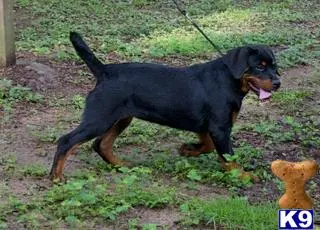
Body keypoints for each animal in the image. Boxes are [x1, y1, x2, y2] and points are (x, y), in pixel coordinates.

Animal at [49, 31, 280, 181]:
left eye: (274, 66)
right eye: (260, 67)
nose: (278, 82)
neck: (229, 79)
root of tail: (104, 71)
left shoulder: (206, 126)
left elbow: (207, 145)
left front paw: (188, 149)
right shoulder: (220, 128)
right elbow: (229, 157)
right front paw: (244, 176)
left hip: (121, 118)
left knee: (101, 144)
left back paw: (123, 166)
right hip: (100, 118)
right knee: (67, 141)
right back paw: (56, 177)